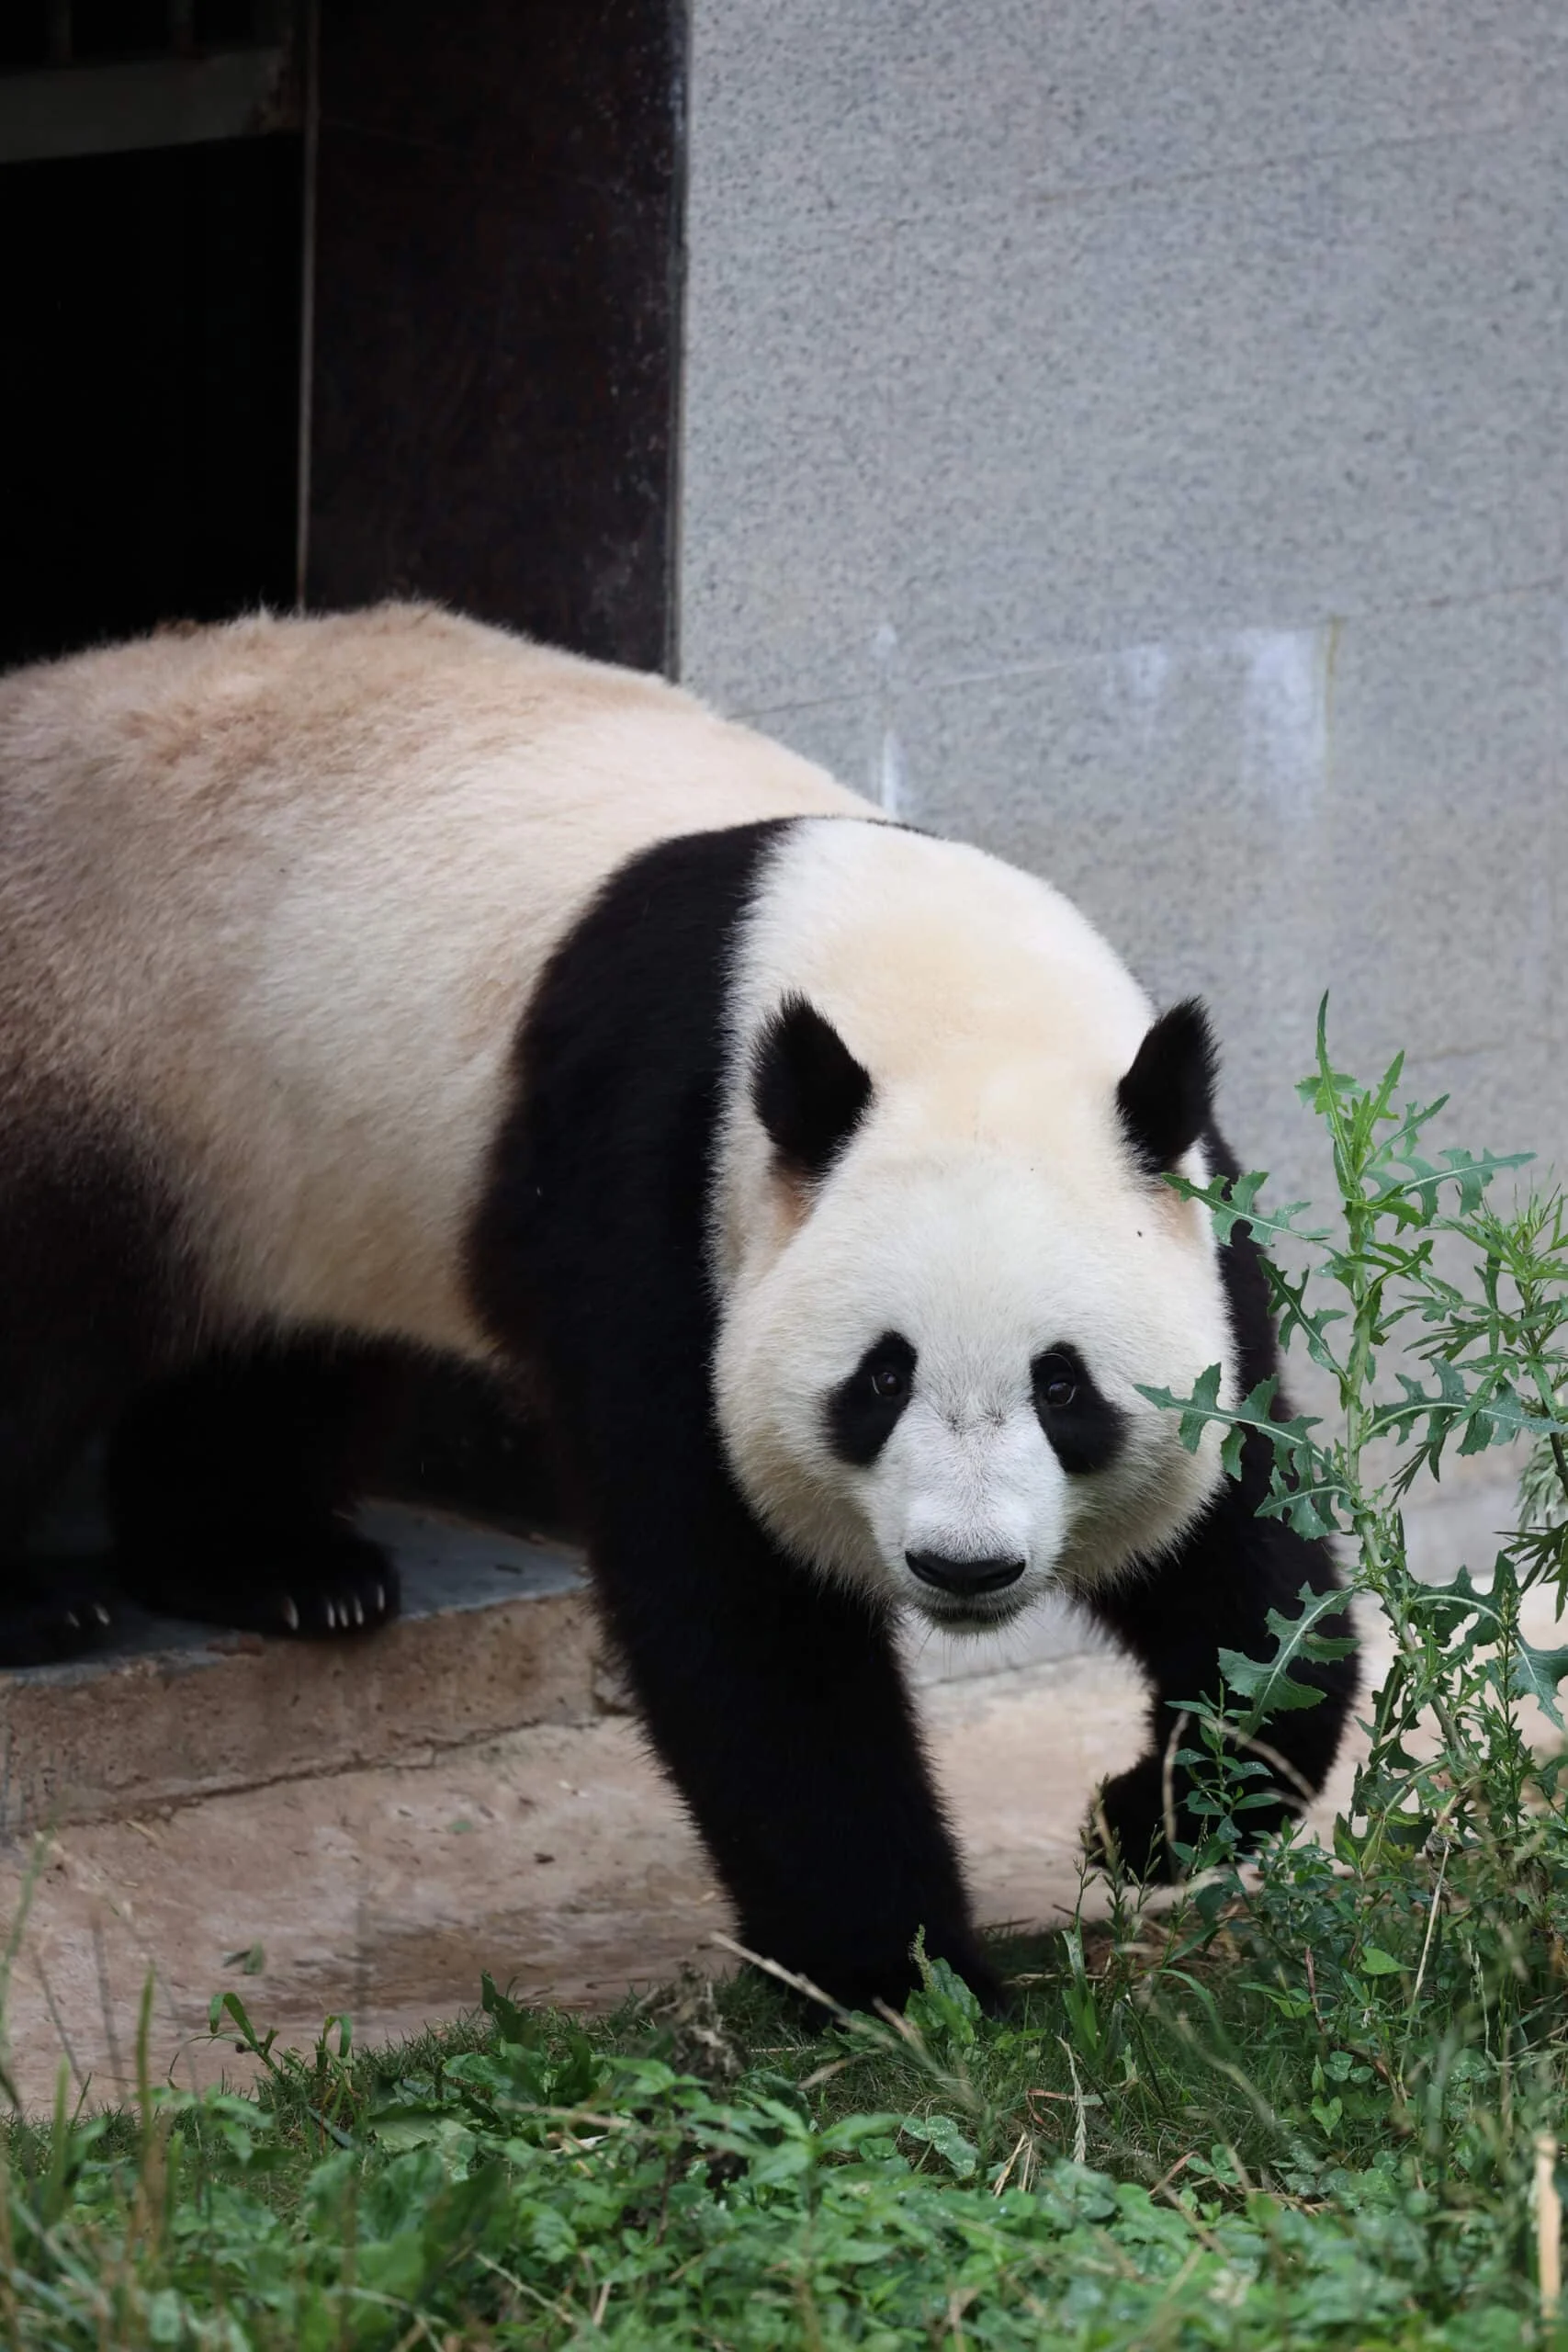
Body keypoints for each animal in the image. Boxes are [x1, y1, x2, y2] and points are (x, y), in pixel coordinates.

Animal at [0, 602, 1354, 2011]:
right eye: (880, 1379)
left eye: (1063, 1386)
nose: (963, 1565)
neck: (935, 1000)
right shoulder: (658, 1184)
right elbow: (737, 1617)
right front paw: (908, 1977)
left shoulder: (1184, 1196)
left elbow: (1245, 1540)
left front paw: (1156, 1814)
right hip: (98, 1042)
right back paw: (51, 1606)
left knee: (283, 1358)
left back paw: (274, 1568)